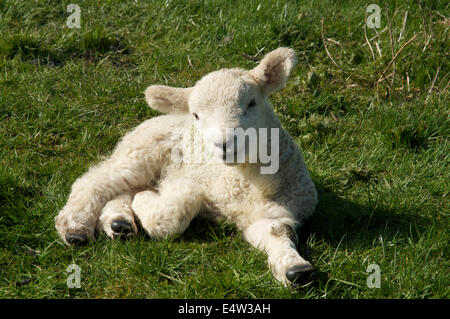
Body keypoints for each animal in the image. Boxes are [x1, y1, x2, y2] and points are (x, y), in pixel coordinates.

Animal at [54, 48, 318, 288]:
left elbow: (276, 232)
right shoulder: (195, 180)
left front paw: (294, 268)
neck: (246, 181)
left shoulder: (272, 210)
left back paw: (119, 222)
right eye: (197, 115)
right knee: (95, 181)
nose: (223, 144)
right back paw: (76, 227)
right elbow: (174, 214)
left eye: (252, 103)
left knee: (122, 188)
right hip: (141, 152)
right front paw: (147, 201)